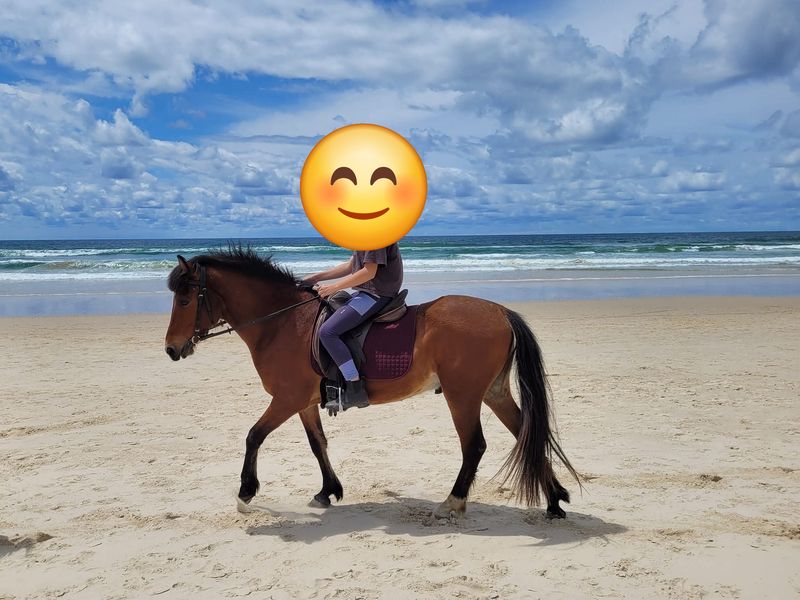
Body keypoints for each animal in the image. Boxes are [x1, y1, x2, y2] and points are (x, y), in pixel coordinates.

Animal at [164, 247, 580, 519]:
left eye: (184, 300)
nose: (171, 349)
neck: (282, 324)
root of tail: (501, 311)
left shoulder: (286, 398)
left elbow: (254, 436)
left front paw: (246, 493)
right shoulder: (304, 402)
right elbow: (317, 444)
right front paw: (328, 492)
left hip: (463, 395)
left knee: (475, 445)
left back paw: (453, 502)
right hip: (493, 392)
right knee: (526, 431)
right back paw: (554, 499)